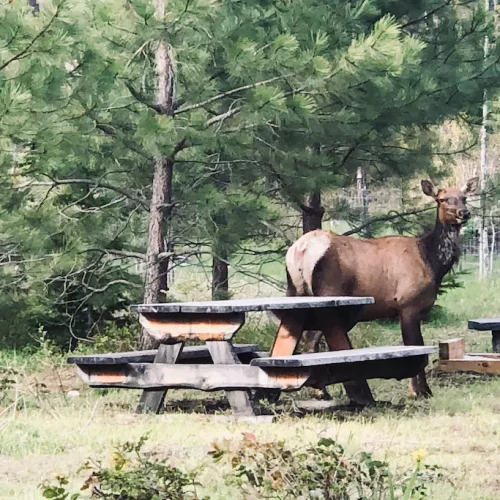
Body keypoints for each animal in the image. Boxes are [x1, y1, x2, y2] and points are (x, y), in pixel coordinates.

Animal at [286, 178, 476, 396]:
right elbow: (416, 347)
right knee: (312, 337)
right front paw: (421, 392)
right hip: (329, 296)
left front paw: (416, 390)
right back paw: (322, 392)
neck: (431, 262)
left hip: (295, 291)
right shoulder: (408, 304)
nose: (464, 212)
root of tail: (300, 250)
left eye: (464, 197)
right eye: (442, 199)